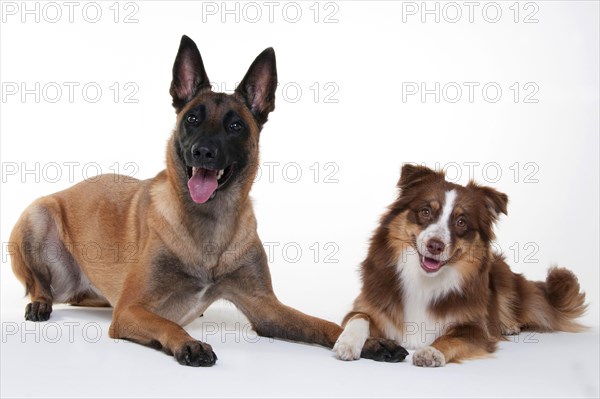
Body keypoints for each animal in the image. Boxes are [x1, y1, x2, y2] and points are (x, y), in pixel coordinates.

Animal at [8, 36, 408, 368]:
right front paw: (188, 343)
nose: (203, 151)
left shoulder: (266, 309)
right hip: (36, 215)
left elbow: (319, 323)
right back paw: (40, 303)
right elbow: (166, 325)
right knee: (39, 285)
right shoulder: (130, 310)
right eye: (192, 119)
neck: (210, 226)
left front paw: (368, 341)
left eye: (235, 126)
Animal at [336, 164, 588, 368]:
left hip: (504, 277)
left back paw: (509, 325)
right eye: (425, 211)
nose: (435, 245)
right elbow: (359, 318)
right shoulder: (368, 304)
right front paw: (347, 343)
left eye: (461, 222)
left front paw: (432, 351)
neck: (424, 279)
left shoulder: (475, 328)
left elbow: (452, 337)